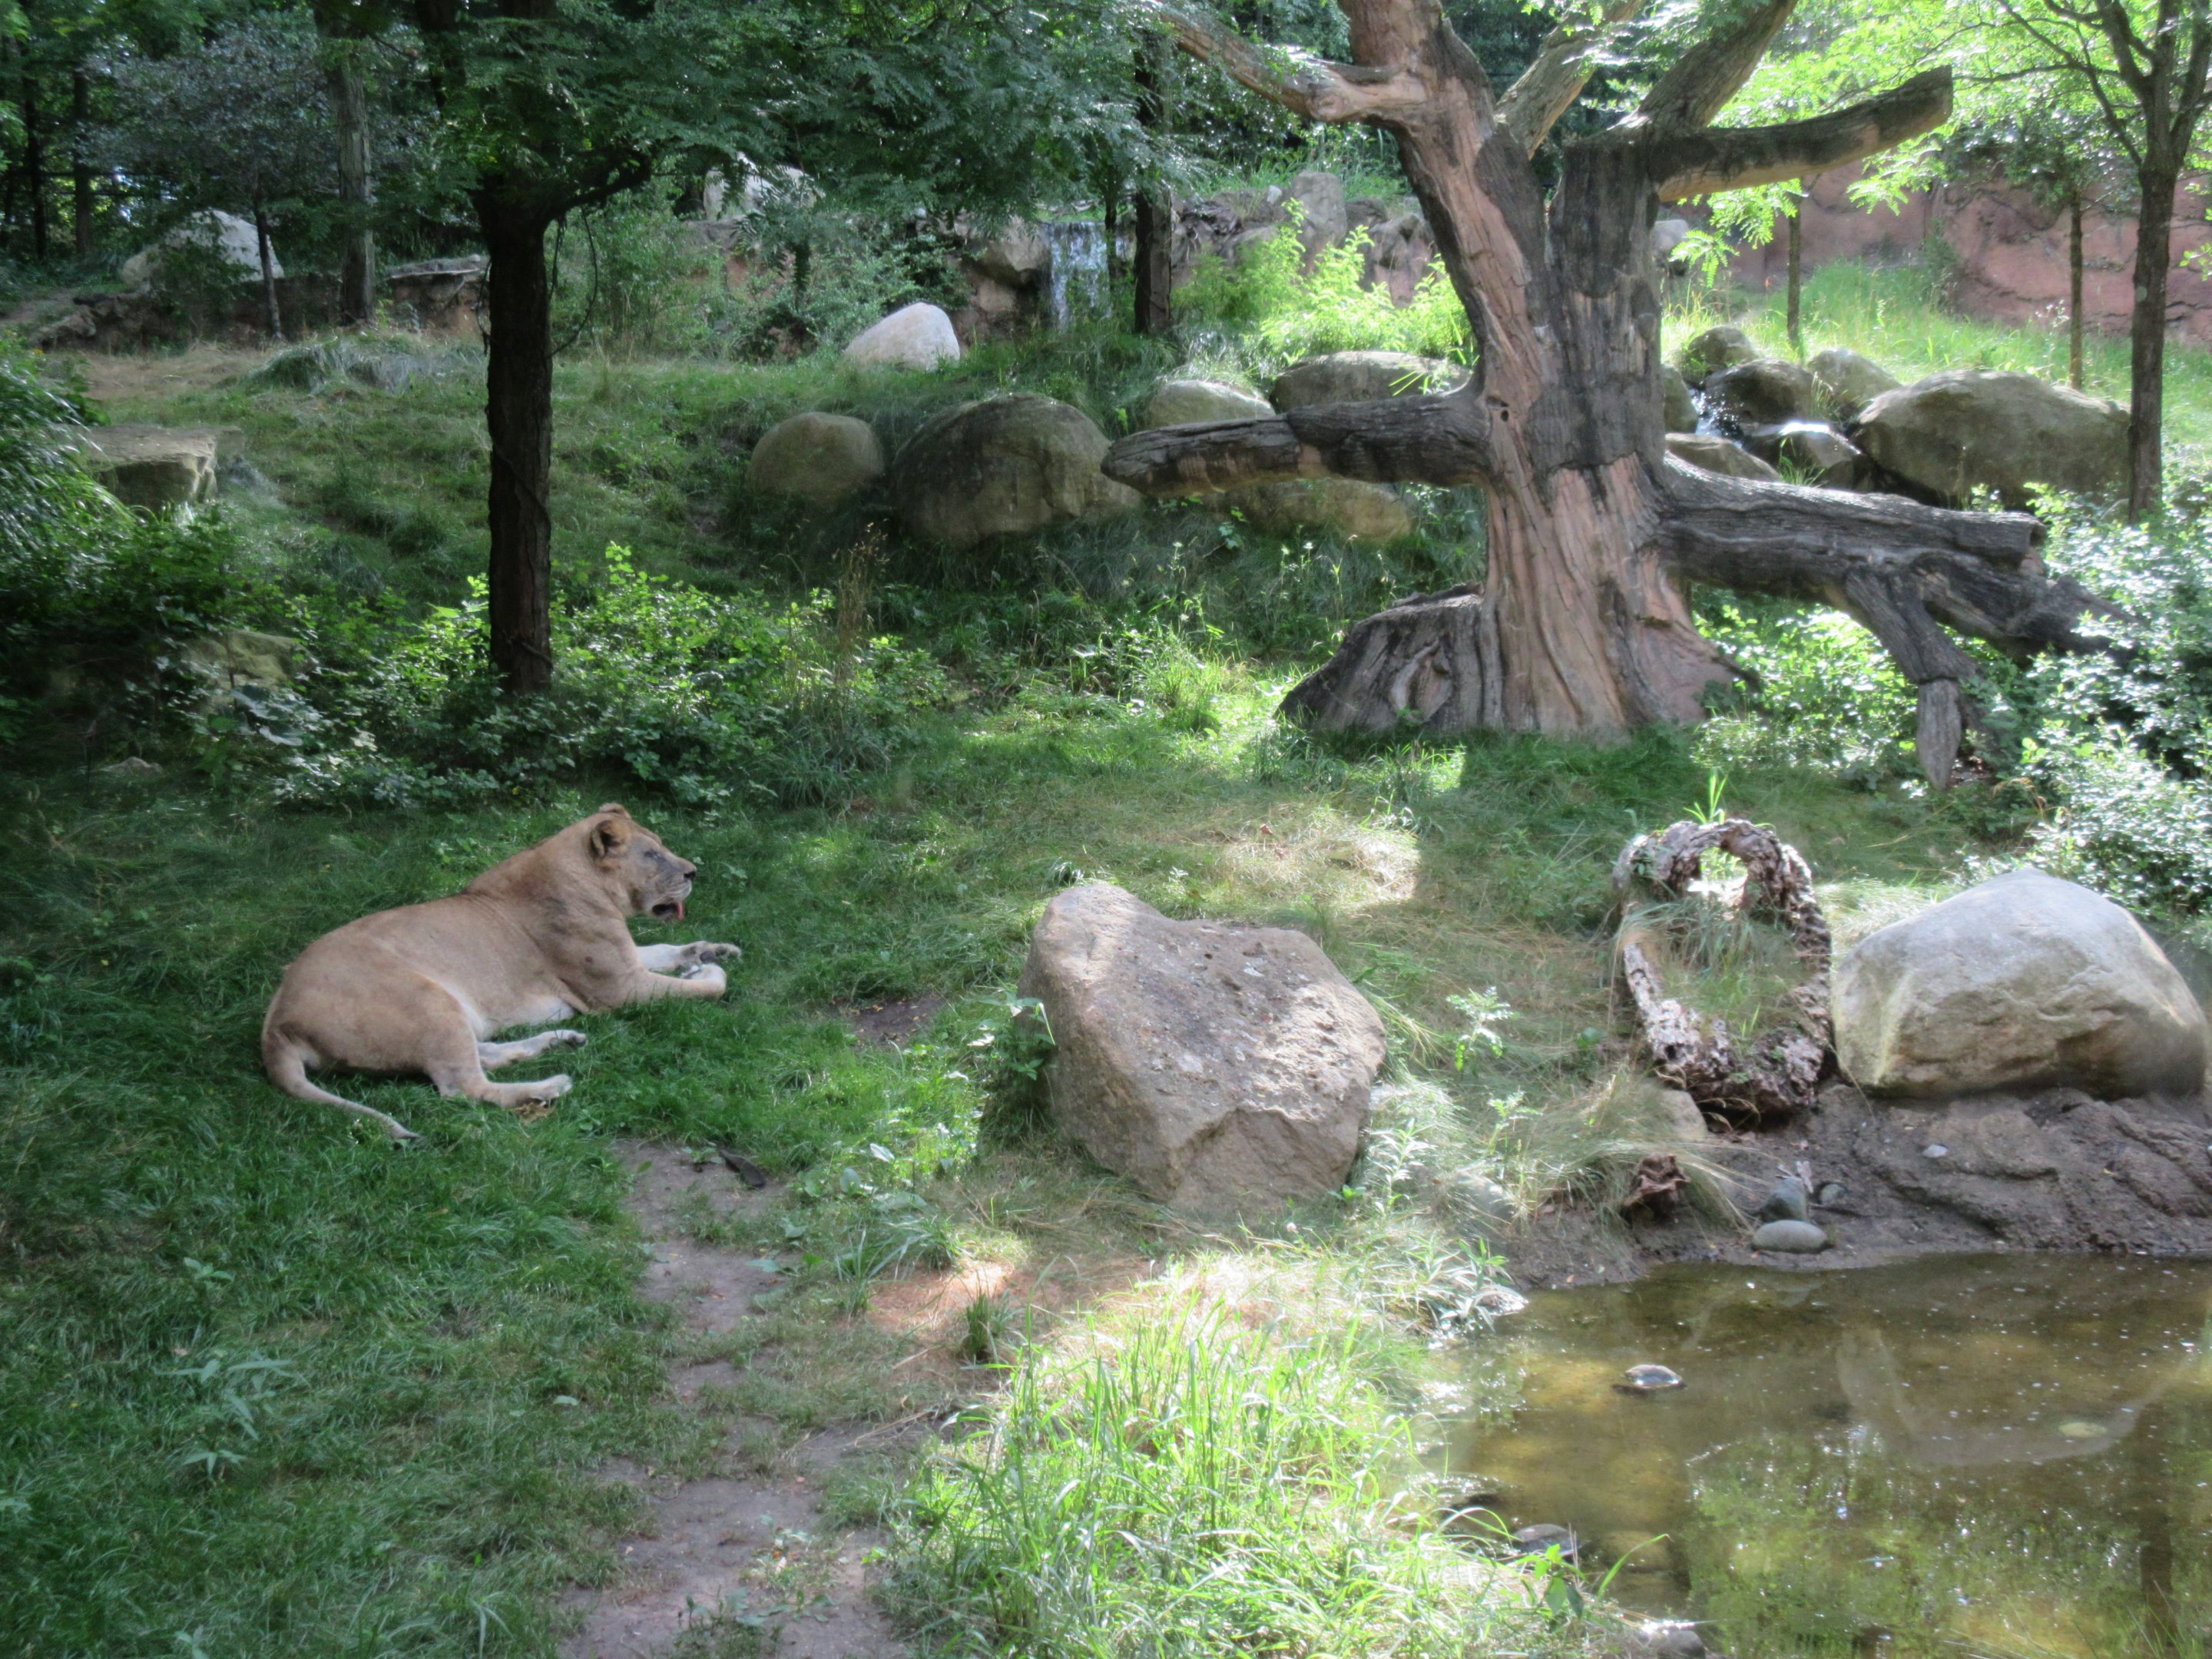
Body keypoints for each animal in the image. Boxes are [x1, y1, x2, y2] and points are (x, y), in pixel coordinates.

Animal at [262, 803, 739, 1141]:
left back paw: (560, 1041)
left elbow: (666, 949)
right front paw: (705, 972)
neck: (589, 881)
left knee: (483, 1055)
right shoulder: (620, 988)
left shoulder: (628, 962)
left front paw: (714, 949)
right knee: (463, 1087)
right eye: (653, 854)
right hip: (426, 998)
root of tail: (278, 1018)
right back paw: (550, 1086)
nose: (694, 872)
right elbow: (706, 990)